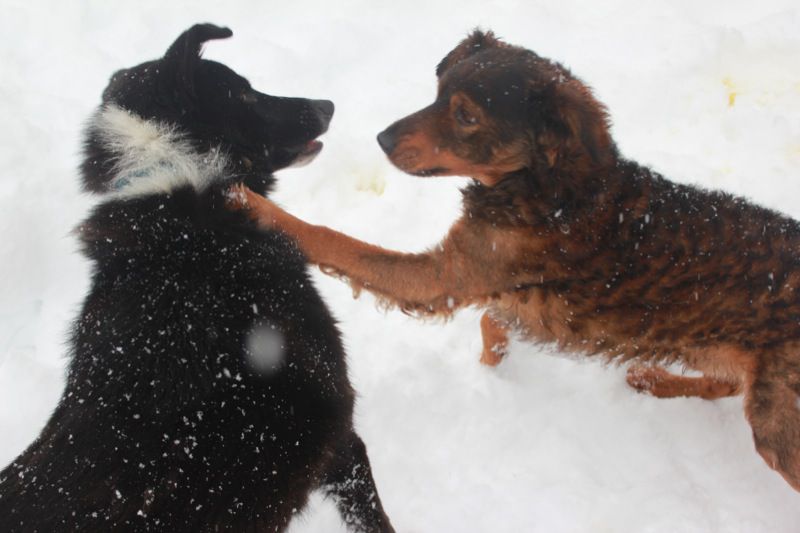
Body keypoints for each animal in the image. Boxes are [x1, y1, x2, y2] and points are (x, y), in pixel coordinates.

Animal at [230, 31, 800, 490]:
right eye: (437, 94)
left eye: (465, 115)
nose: (382, 138)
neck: (547, 185)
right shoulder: (476, 277)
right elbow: (492, 319)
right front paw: (493, 364)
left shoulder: (440, 276)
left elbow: (333, 239)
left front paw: (252, 202)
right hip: (716, 351)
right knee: (727, 381)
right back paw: (655, 380)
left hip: (778, 423)